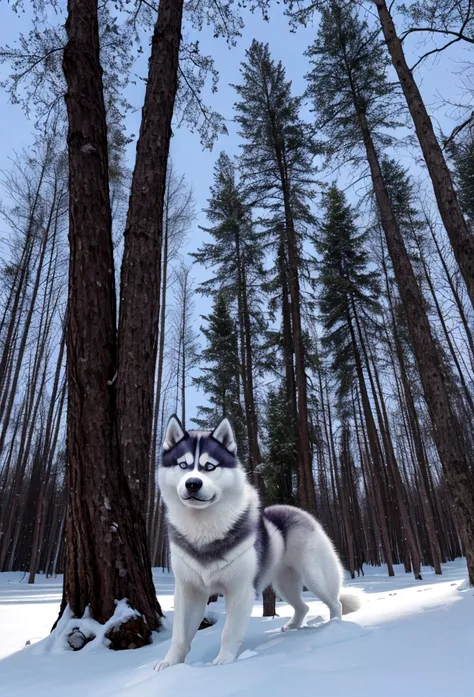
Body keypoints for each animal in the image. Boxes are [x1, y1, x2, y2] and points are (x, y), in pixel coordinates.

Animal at [155, 414, 360, 668]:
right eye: (182, 465)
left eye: (209, 466)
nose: (192, 483)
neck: (203, 529)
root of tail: (295, 510)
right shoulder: (188, 590)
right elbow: (180, 636)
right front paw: (169, 665)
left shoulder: (240, 589)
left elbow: (229, 632)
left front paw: (223, 663)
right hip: (285, 583)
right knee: (303, 606)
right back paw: (292, 627)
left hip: (316, 577)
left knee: (335, 603)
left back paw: (335, 629)